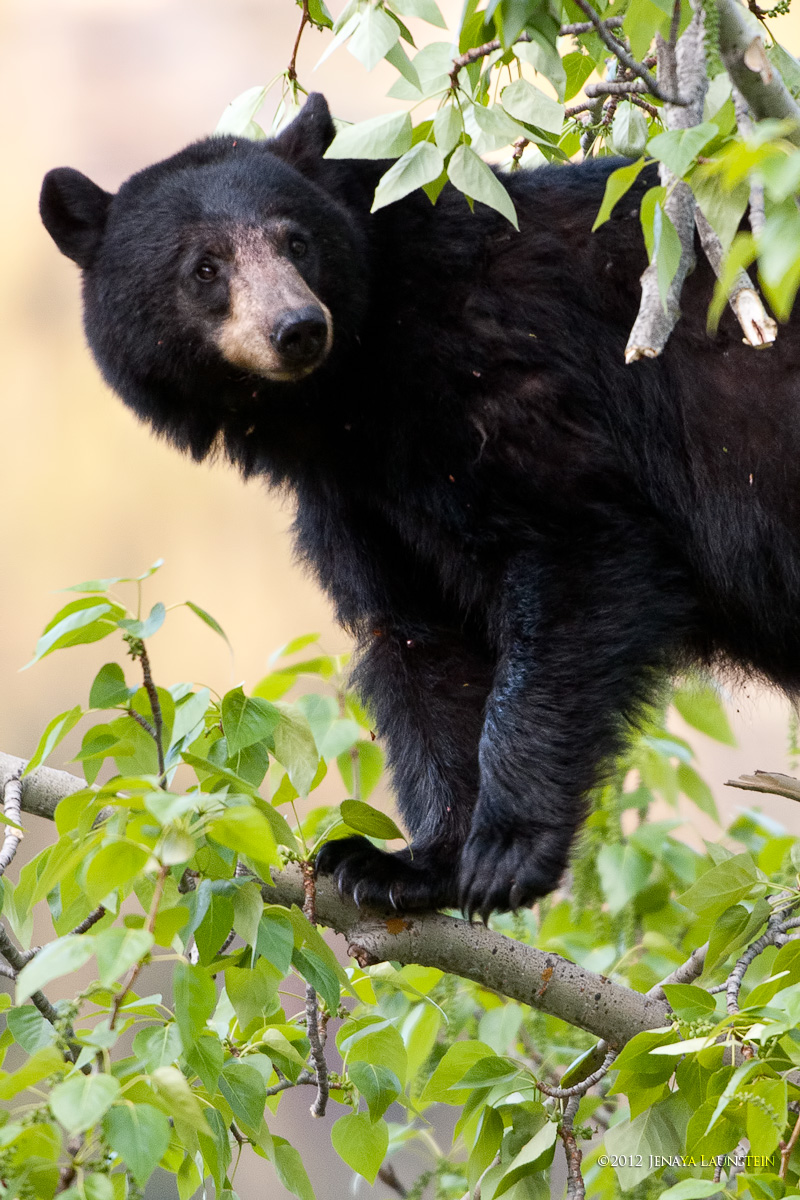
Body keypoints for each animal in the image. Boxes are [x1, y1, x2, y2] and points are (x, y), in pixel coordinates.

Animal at [39, 93, 800, 919]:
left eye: (296, 241)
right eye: (204, 267)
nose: (297, 328)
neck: (350, 396)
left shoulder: (500, 378)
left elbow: (577, 545)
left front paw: (506, 850)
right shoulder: (358, 500)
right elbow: (421, 642)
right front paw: (405, 862)